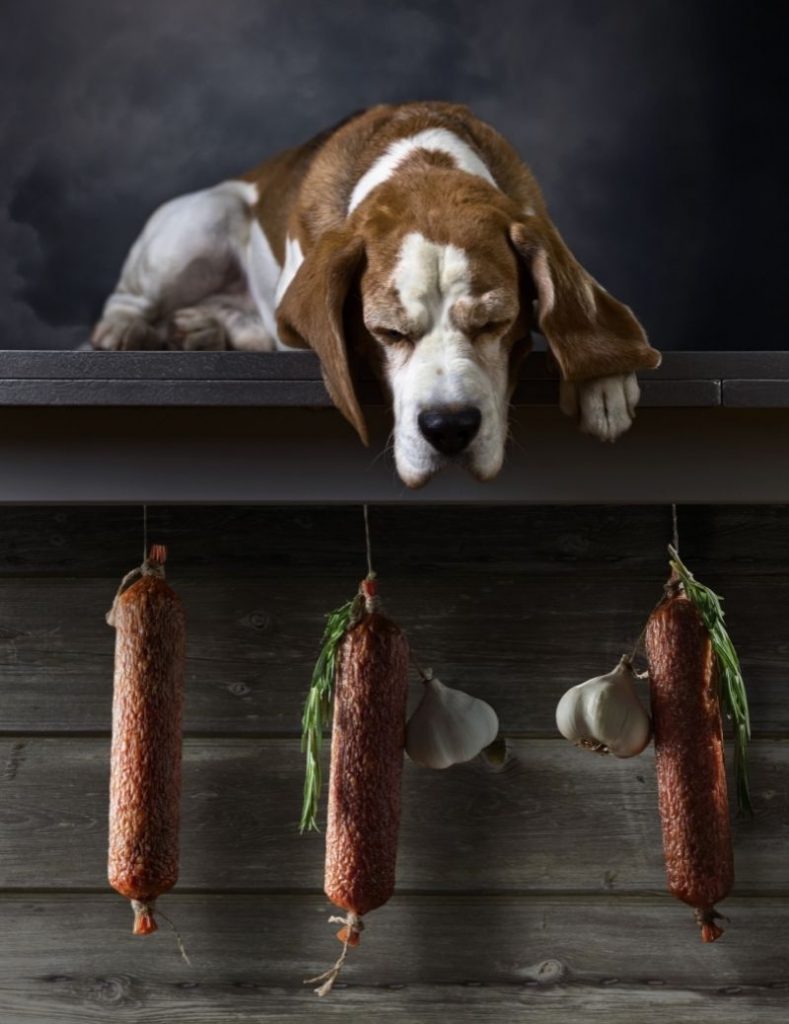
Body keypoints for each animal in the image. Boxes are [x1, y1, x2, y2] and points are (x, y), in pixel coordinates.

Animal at [91, 101, 659, 485]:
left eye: (495, 323)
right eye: (387, 332)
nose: (449, 428)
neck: (424, 162)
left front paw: (603, 381)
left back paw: (205, 328)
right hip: (201, 221)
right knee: (131, 297)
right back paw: (125, 329)